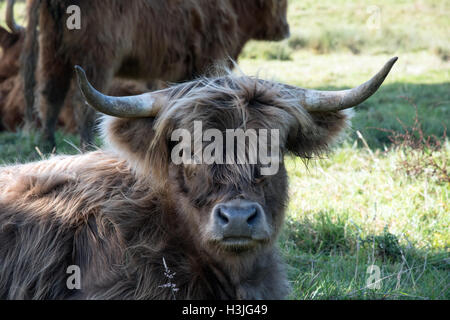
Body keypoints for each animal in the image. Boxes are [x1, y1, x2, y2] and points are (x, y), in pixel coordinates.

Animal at [23, 0, 292, 151]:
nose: (285, 29)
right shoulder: (211, 55)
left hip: (52, 50)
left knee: (50, 94)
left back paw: (47, 144)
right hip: (95, 55)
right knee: (83, 103)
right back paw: (86, 146)